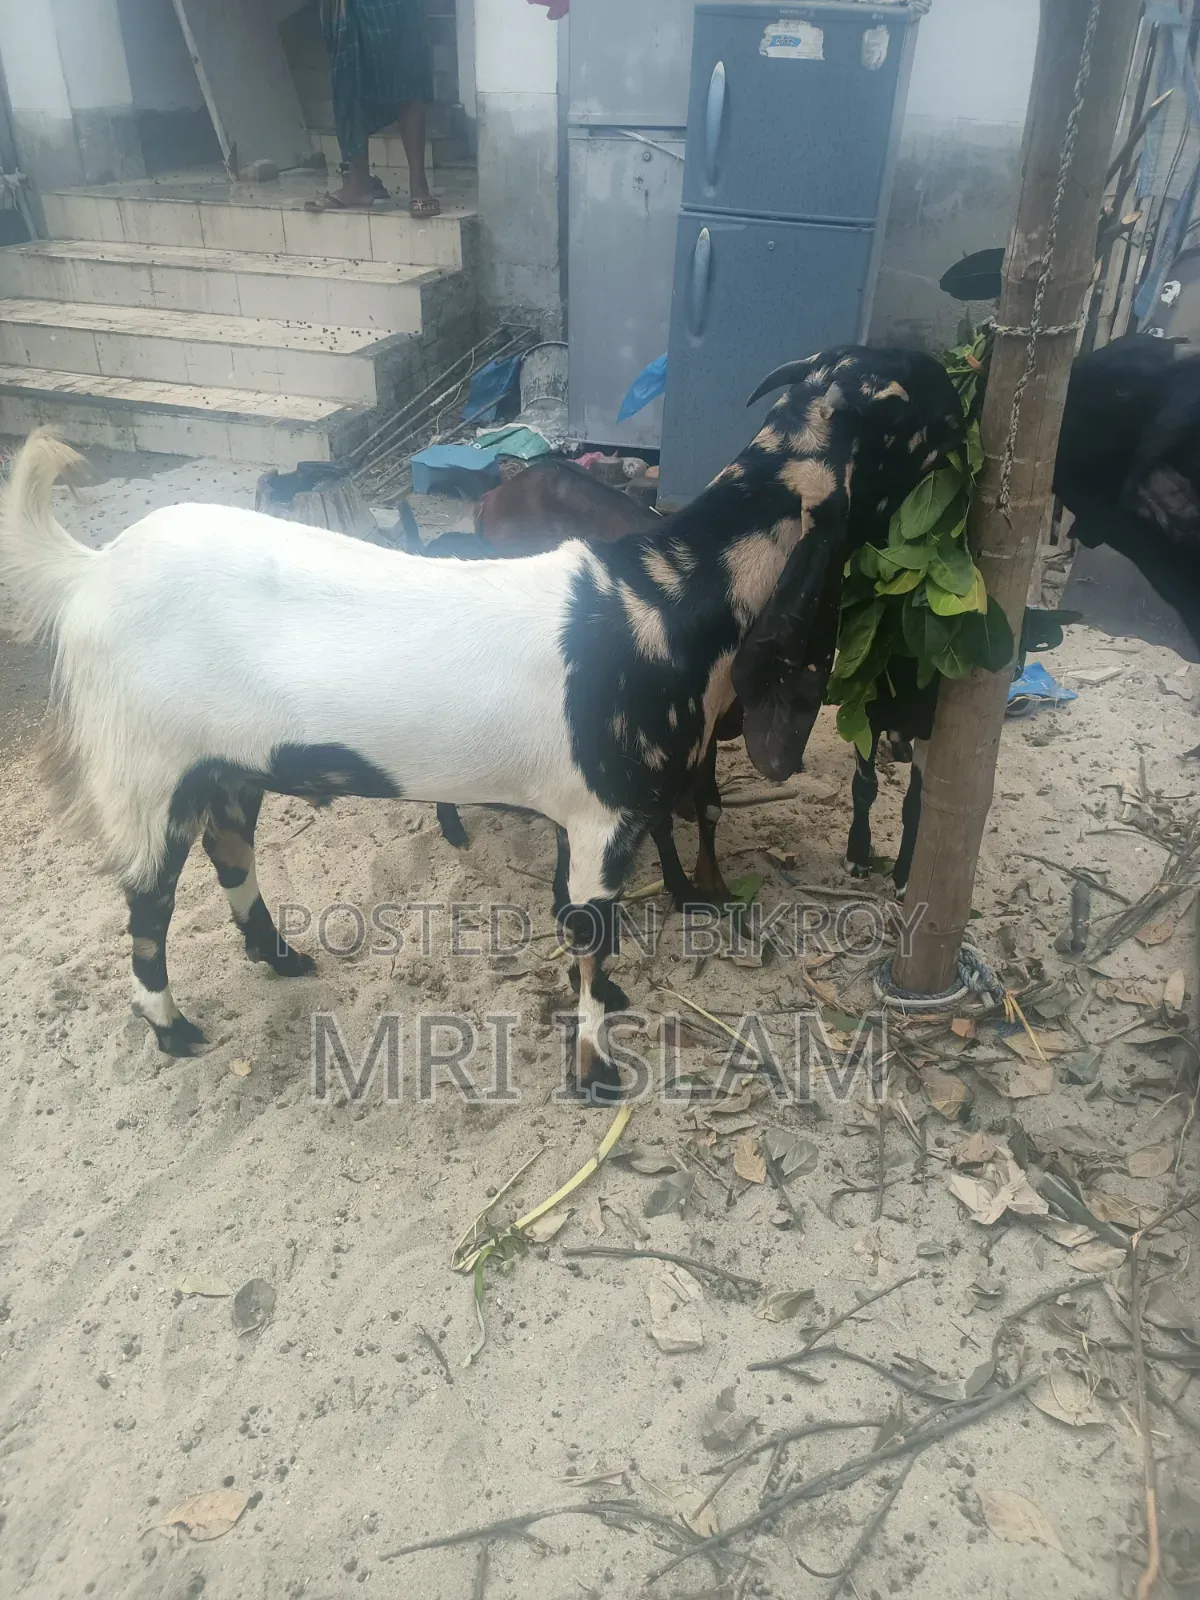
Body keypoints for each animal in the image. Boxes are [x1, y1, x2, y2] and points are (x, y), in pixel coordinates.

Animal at [0, 348, 962, 1102]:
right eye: (933, 410)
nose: (971, 437)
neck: (666, 594)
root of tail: (89, 569)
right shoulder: (604, 814)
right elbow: (593, 939)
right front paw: (595, 1069)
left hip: (227, 766)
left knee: (229, 852)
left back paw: (283, 961)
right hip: (144, 769)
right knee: (146, 903)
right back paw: (173, 1030)